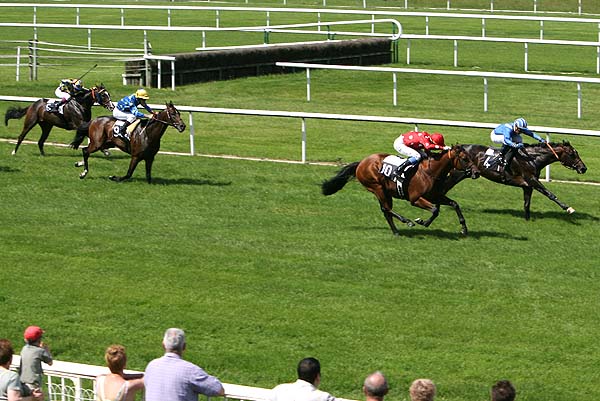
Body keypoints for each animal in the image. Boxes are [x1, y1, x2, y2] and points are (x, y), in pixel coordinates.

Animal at [322, 145, 480, 236]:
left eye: (470, 157)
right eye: (465, 158)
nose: (477, 172)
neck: (430, 172)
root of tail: (361, 162)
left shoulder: (435, 196)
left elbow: (454, 204)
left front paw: (464, 229)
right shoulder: (415, 199)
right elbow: (435, 210)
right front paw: (422, 221)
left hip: (385, 192)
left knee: (386, 211)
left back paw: (396, 231)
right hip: (377, 187)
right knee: (386, 209)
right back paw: (407, 221)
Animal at [442, 141, 588, 219]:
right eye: (572, 154)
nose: (583, 168)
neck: (532, 158)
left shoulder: (527, 185)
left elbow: (527, 203)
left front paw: (527, 220)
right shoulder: (532, 179)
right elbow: (550, 194)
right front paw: (568, 208)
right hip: (457, 174)